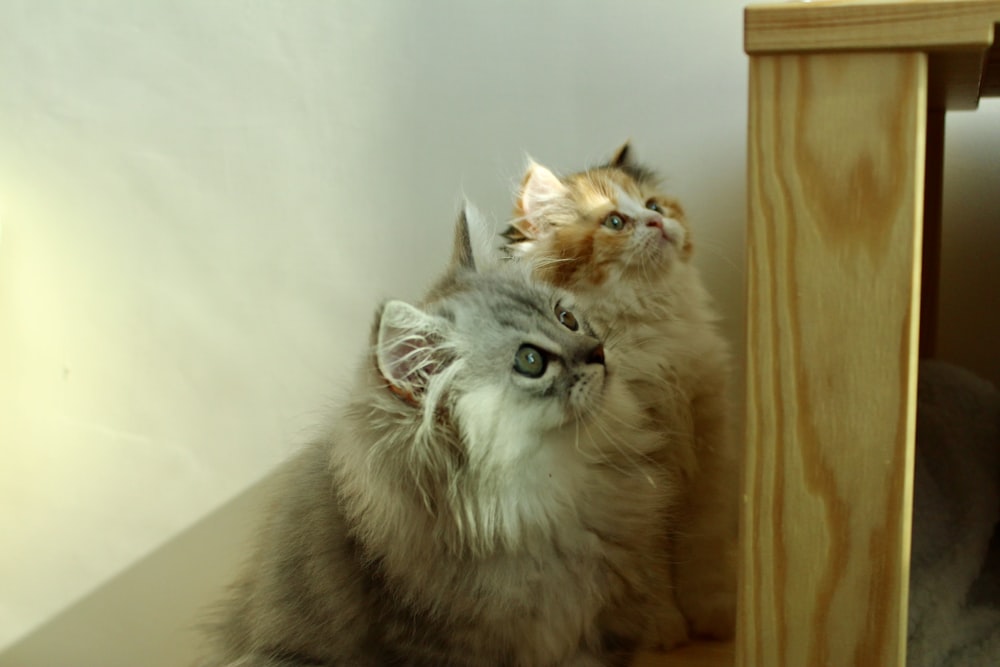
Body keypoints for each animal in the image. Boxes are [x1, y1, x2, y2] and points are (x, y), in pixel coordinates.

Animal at [504, 145, 740, 648]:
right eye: (615, 222)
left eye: (653, 206)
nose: (657, 222)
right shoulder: (635, 483)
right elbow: (648, 565)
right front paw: (663, 630)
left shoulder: (707, 454)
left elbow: (704, 548)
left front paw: (717, 617)